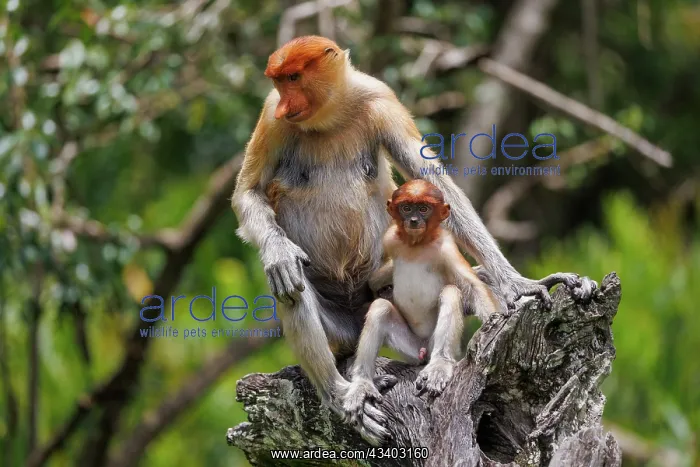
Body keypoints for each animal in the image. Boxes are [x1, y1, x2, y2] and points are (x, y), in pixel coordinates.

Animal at [342, 180, 499, 444]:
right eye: (406, 207)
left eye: (424, 208)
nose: (414, 220)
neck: (417, 245)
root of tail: (425, 348)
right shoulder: (390, 239)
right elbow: (378, 279)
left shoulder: (446, 246)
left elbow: (471, 286)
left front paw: (497, 319)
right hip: (411, 347)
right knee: (381, 308)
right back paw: (362, 384)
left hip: (434, 342)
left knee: (450, 292)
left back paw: (438, 366)